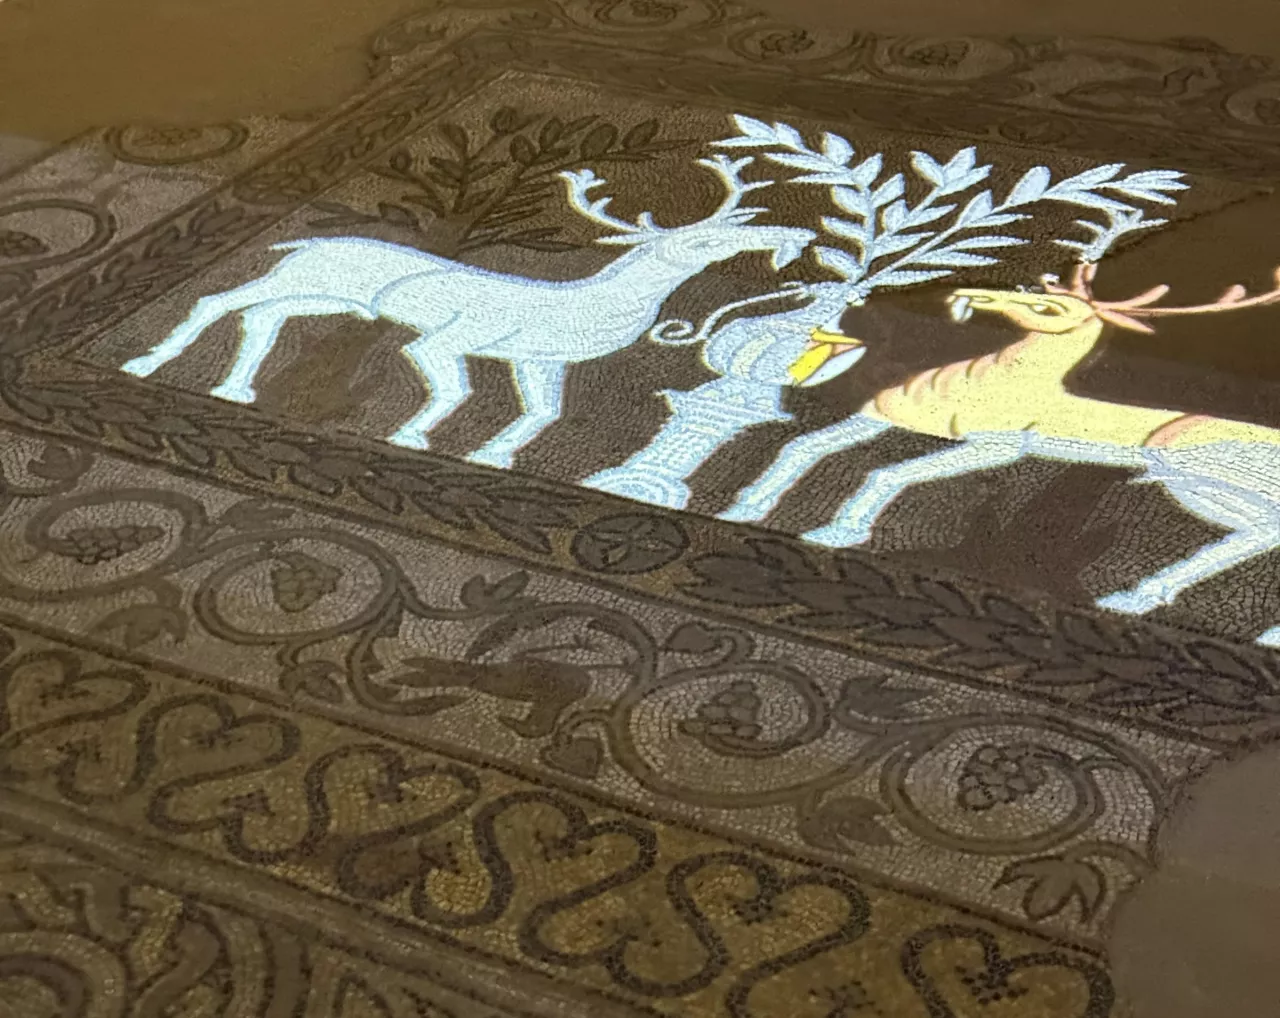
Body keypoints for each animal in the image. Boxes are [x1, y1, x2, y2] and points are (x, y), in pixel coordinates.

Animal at [119, 155, 815, 468]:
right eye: (697, 242)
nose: (789, 236)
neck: (587, 303)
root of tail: (306, 239)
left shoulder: (538, 361)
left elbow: (543, 413)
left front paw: (493, 457)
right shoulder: (449, 340)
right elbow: (452, 388)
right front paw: (412, 437)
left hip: (317, 296)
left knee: (263, 318)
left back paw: (233, 388)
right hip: (300, 277)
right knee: (217, 299)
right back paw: (149, 362)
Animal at [720, 260, 1280, 646]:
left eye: (1048, 308)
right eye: (1032, 288)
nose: (970, 294)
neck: (986, 381)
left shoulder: (997, 448)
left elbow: (888, 475)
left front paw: (839, 530)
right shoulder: (880, 416)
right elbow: (803, 446)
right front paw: (748, 504)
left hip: (1196, 475)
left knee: (1258, 534)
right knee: (1254, 538)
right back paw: (1136, 597)